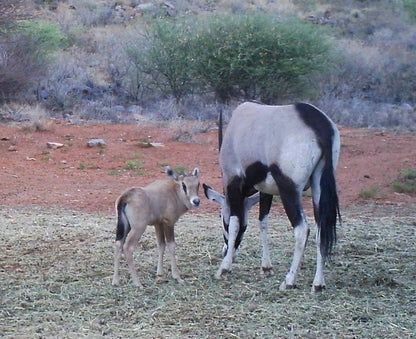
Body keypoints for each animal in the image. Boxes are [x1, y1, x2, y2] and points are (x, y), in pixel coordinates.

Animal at [203, 102, 340, 294]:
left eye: (222, 220)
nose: (225, 251)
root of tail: (320, 125)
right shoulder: (266, 190)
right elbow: (263, 222)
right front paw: (266, 267)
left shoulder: (233, 182)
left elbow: (236, 223)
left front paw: (223, 269)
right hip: (319, 188)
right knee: (321, 231)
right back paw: (318, 284)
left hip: (289, 190)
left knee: (302, 229)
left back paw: (289, 281)